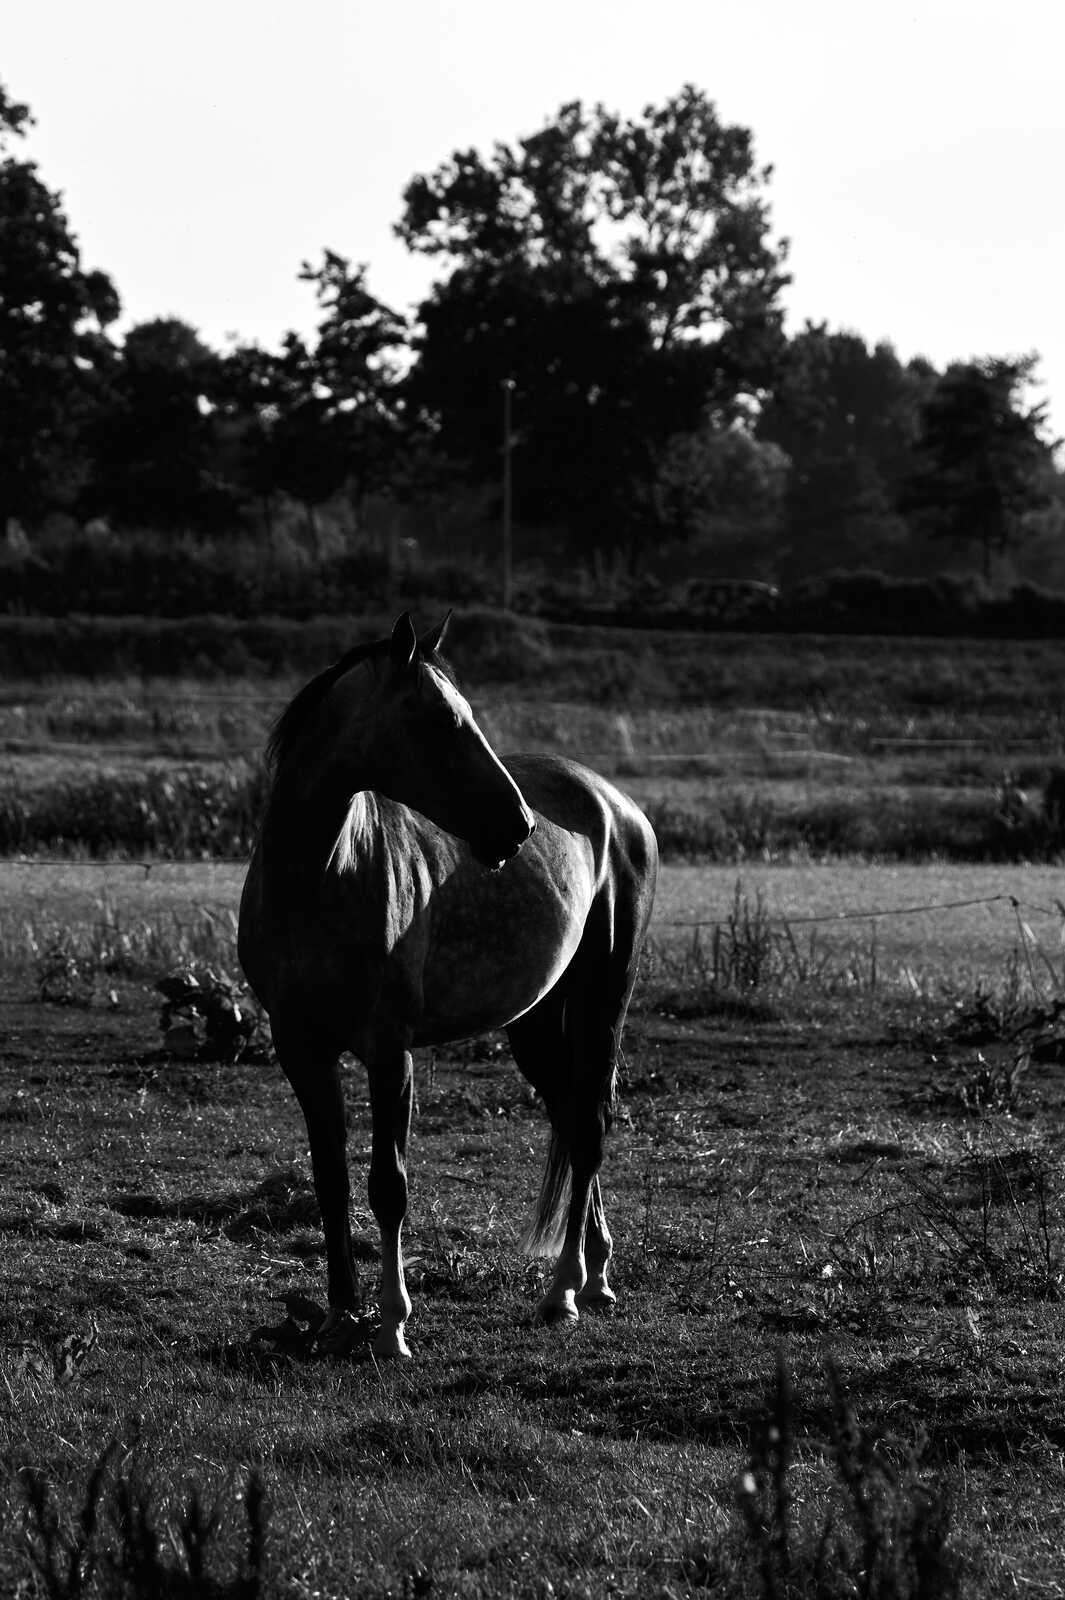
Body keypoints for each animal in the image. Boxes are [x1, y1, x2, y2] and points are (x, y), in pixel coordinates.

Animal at [237, 612, 658, 1357]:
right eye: (438, 717)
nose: (517, 827)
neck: (319, 877)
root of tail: (618, 807)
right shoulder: (300, 1049)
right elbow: (329, 1178)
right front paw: (341, 1316)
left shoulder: (388, 1052)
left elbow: (388, 1185)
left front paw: (391, 1326)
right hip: (534, 1022)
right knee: (571, 1117)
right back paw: (596, 1274)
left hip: (604, 1000)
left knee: (589, 1127)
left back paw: (563, 1293)